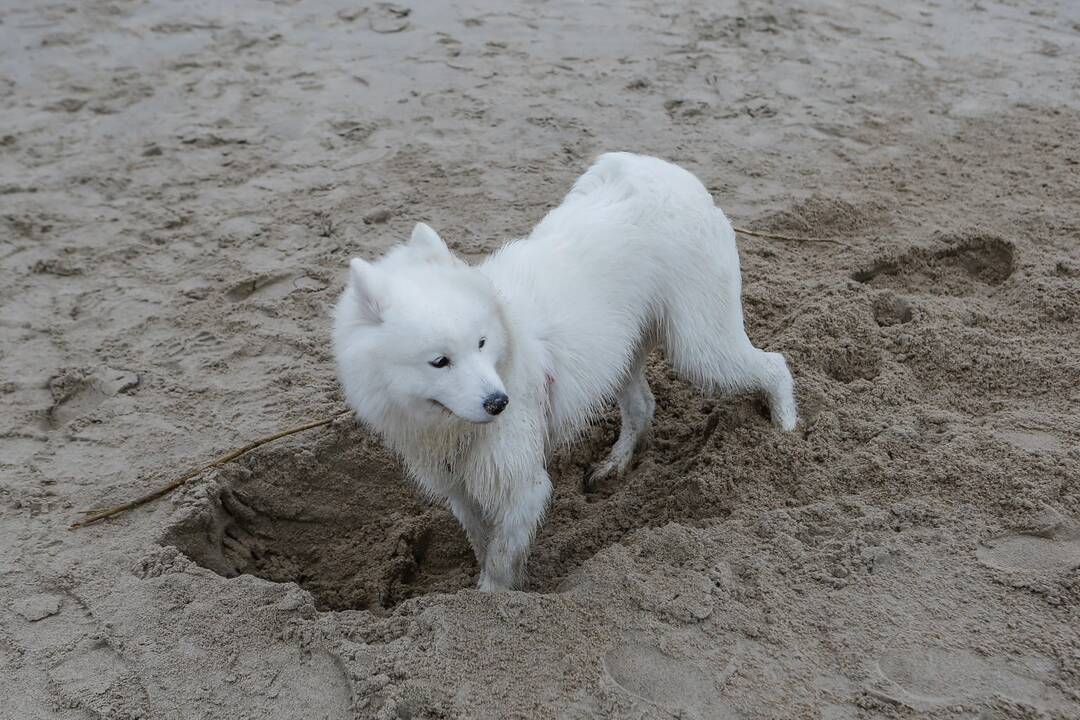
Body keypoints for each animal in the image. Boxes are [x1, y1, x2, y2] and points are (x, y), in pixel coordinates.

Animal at [332, 153, 799, 591]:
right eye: (439, 361)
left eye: (481, 343)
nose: (499, 403)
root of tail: (665, 170)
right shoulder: (459, 488)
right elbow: (483, 542)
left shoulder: (523, 485)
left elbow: (500, 559)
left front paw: (490, 599)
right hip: (622, 353)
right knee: (643, 406)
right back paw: (615, 464)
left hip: (700, 348)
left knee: (775, 364)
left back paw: (787, 432)